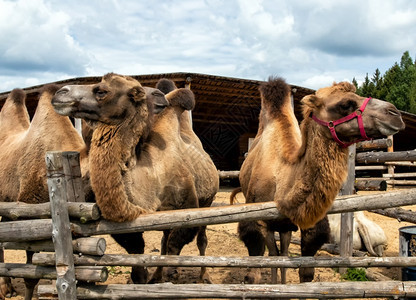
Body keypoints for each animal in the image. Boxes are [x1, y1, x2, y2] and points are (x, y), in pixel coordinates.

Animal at [52, 72, 219, 284]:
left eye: (101, 91)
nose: (60, 92)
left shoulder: (190, 205)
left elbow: (175, 245)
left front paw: (170, 274)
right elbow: (139, 257)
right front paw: (149, 277)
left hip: (208, 200)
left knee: (200, 240)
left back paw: (204, 276)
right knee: (164, 239)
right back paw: (157, 276)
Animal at [236, 77, 404, 284]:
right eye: (345, 104)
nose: (395, 114)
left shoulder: (310, 227)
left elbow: (304, 271)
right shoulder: (259, 222)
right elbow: (265, 262)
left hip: (285, 227)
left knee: (284, 251)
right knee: (276, 254)